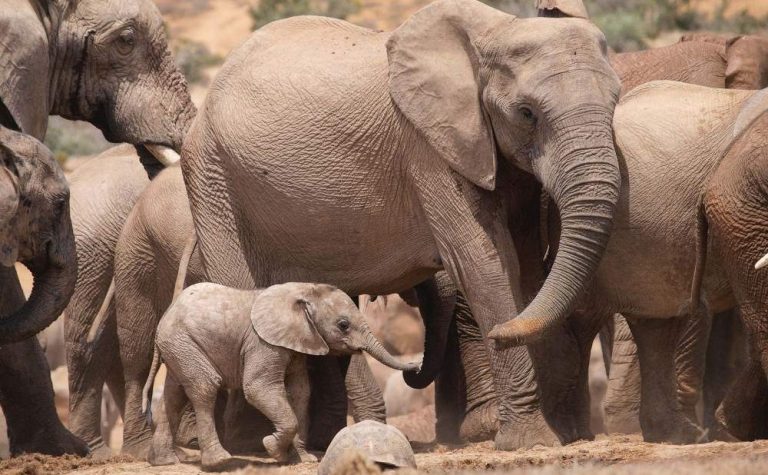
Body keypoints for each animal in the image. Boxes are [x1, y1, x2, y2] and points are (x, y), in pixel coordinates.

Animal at [144, 282, 418, 470]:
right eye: (343, 325)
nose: (415, 367)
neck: (304, 290)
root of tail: (165, 318)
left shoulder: (297, 343)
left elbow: (300, 391)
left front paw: (302, 459)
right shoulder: (262, 343)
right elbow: (258, 388)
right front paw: (271, 448)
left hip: (178, 347)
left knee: (174, 395)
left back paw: (165, 462)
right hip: (183, 343)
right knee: (205, 386)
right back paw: (219, 462)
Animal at [181, 0, 623, 450]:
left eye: (615, 100)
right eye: (527, 113)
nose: (500, 333)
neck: (497, 30)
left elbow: (529, 263)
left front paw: (564, 435)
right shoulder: (429, 150)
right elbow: (484, 263)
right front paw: (532, 442)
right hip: (212, 178)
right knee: (238, 290)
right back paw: (252, 447)